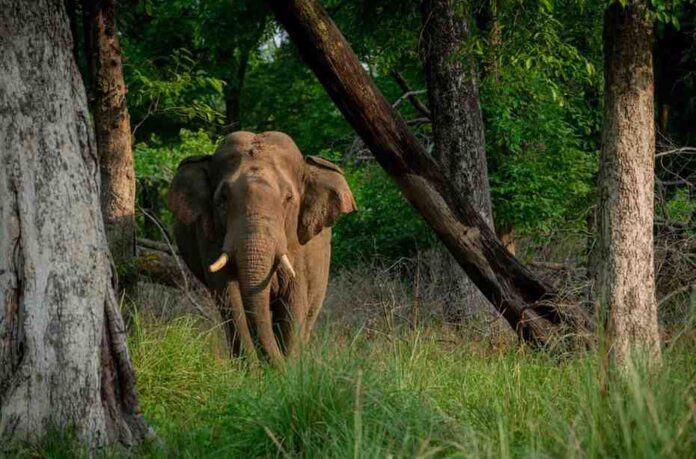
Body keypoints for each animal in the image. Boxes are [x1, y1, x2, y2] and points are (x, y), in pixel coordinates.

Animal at [166, 131, 356, 365]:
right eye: (222, 199)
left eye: (289, 198)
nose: (273, 366)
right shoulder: (210, 237)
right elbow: (231, 298)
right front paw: (253, 370)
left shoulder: (299, 244)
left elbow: (294, 299)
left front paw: (290, 369)